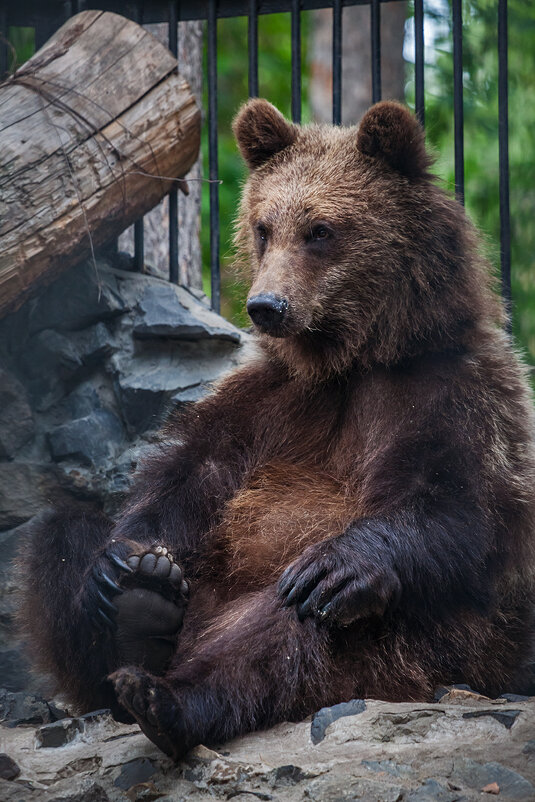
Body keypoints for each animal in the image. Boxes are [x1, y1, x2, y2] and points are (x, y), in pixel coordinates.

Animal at [16, 98, 535, 756]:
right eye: (264, 227)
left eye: (321, 230)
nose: (267, 306)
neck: (352, 359)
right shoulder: (267, 402)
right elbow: (190, 478)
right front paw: (124, 563)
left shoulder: (453, 394)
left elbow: (457, 505)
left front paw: (339, 564)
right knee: (60, 534)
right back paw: (138, 610)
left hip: (421, 652)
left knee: (293, 618)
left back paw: (168, 695)